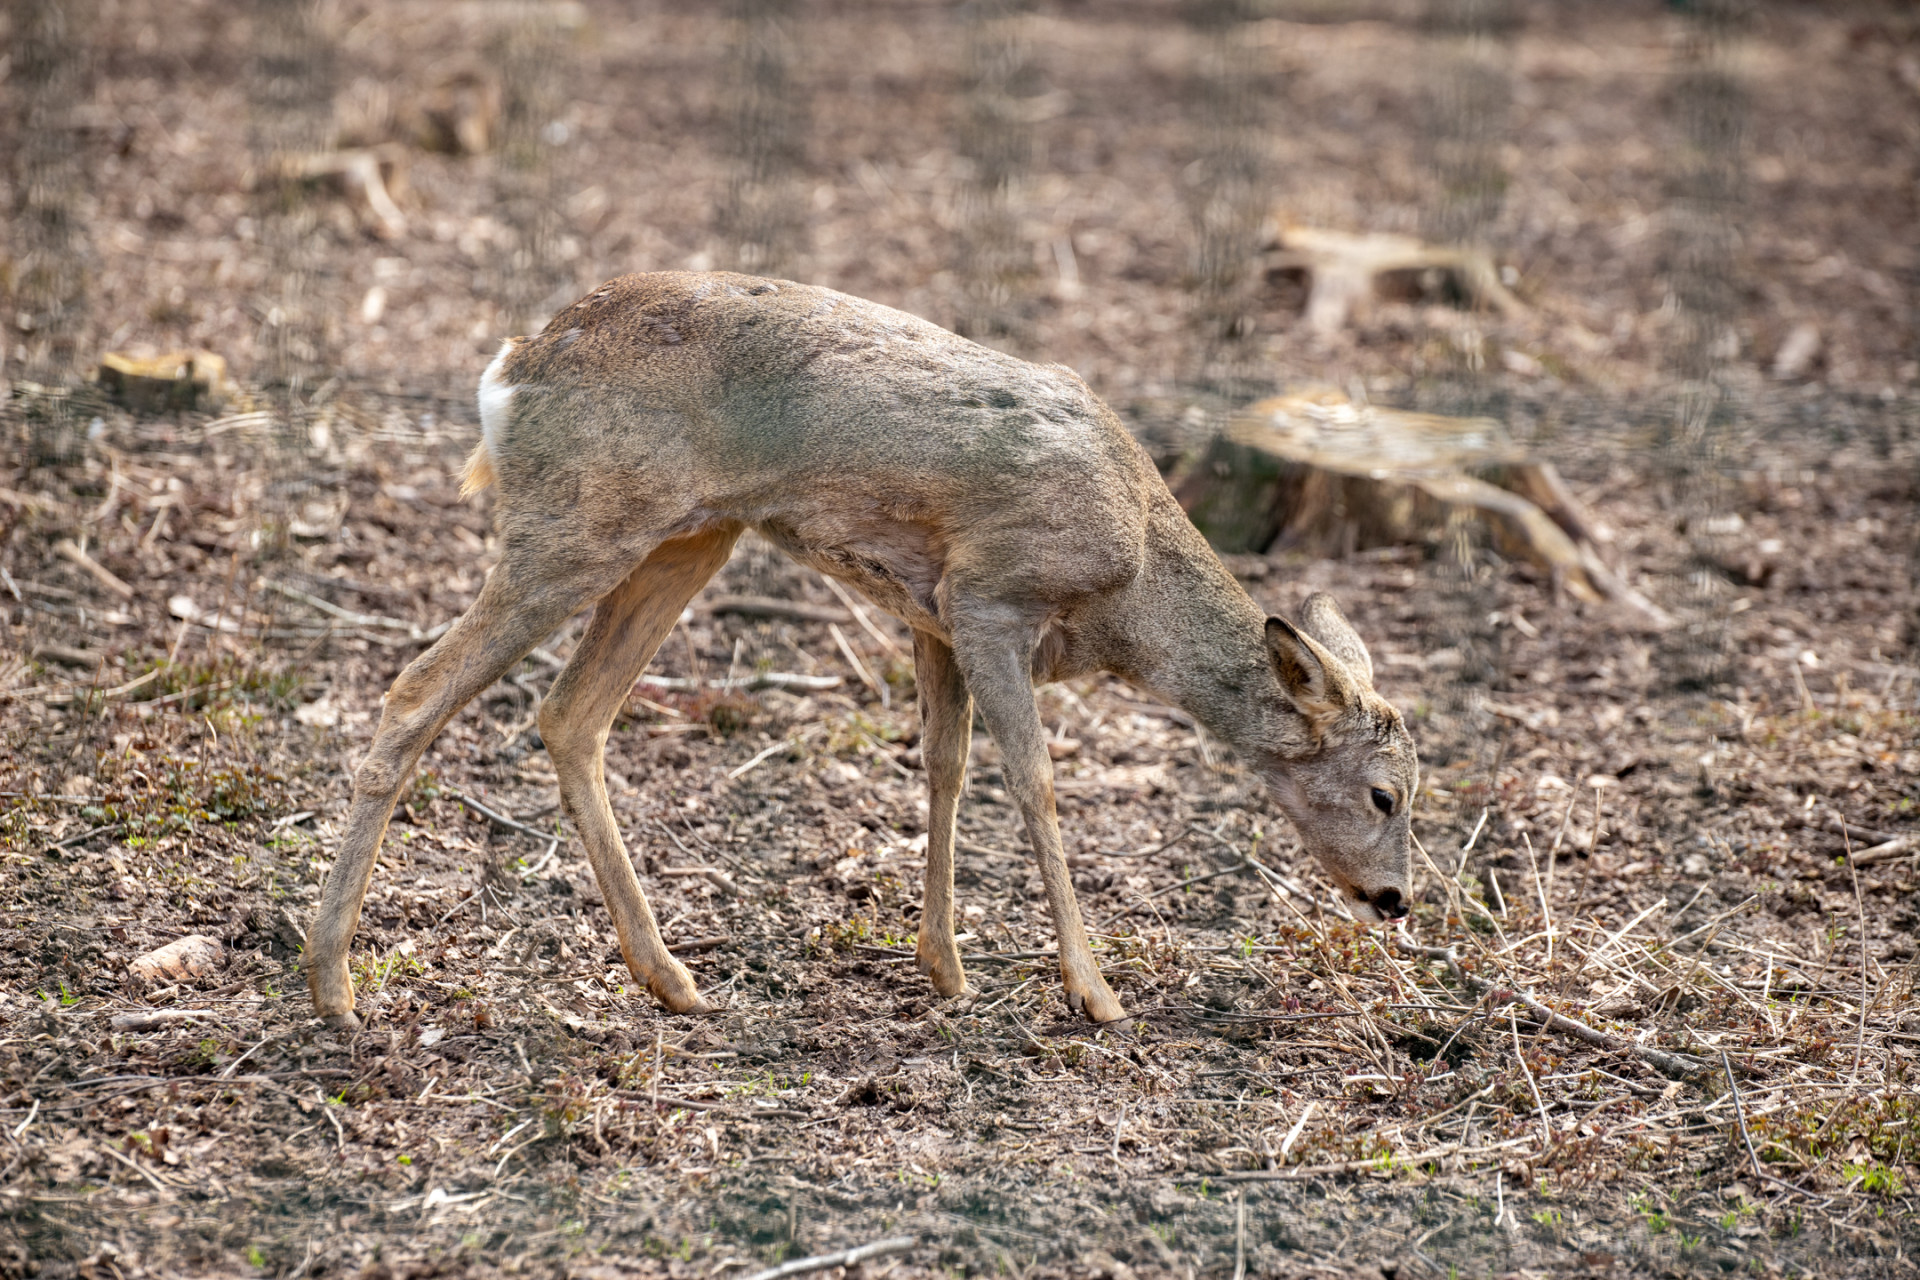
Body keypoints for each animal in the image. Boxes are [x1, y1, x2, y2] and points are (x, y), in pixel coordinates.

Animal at [307, 270, 1420, 1028]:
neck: (1131, 588)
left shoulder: (932, 616)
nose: (1397, 898)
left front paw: (945, 966)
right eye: (1384, 794)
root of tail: (511, 367)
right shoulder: (991, 594)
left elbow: (945, 767)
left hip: (687, 536)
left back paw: (670, 976)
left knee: (571, 713)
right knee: (416, 689)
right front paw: (1094, 989)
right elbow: (1035, 779)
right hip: (577, 524)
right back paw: (333, 982)